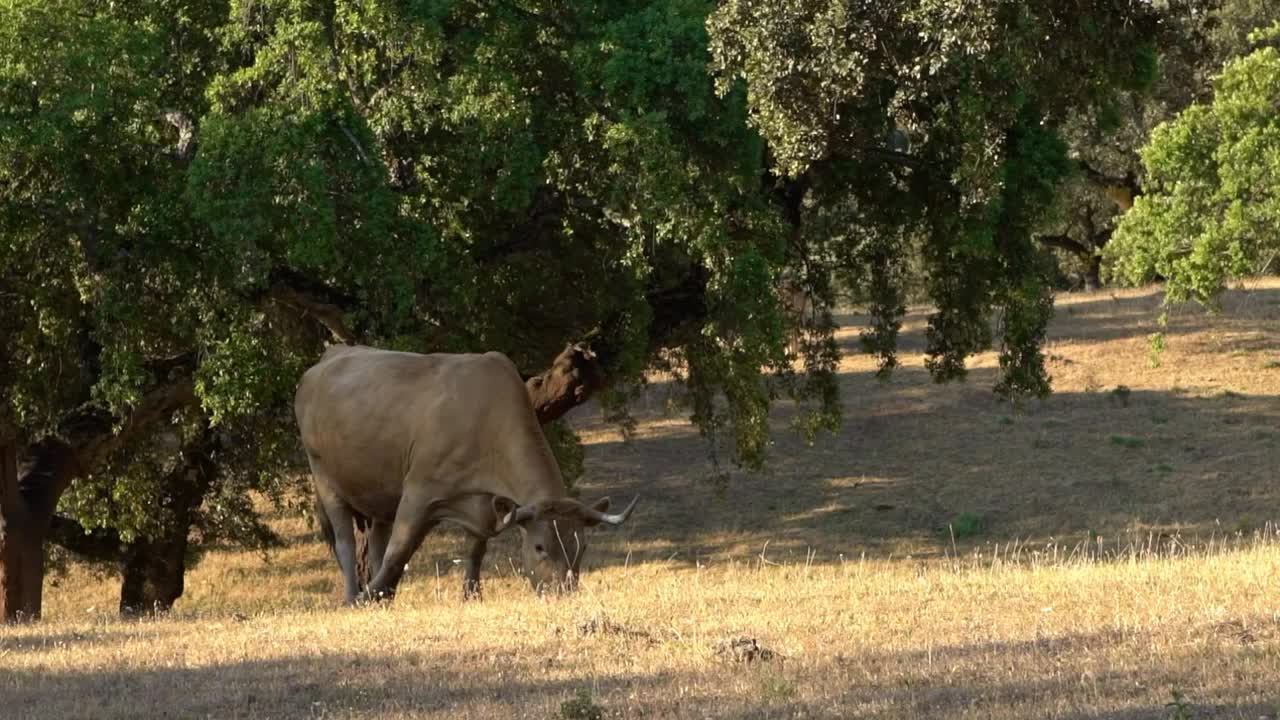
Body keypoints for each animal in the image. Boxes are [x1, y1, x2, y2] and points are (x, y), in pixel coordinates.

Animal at [293, 345, 637, 602]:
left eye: (582, 546)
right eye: (540, 547)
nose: (562, 593)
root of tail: (323, 362)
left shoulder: (485, 501)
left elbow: (476, 549)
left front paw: (471, 595)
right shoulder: (419, 491)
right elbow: (400, 549)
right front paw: (367, 597)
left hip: (379, 488)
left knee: (377, 537)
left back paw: (385, 597)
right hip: (324, 477)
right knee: (345, 541)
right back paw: (355, 595)